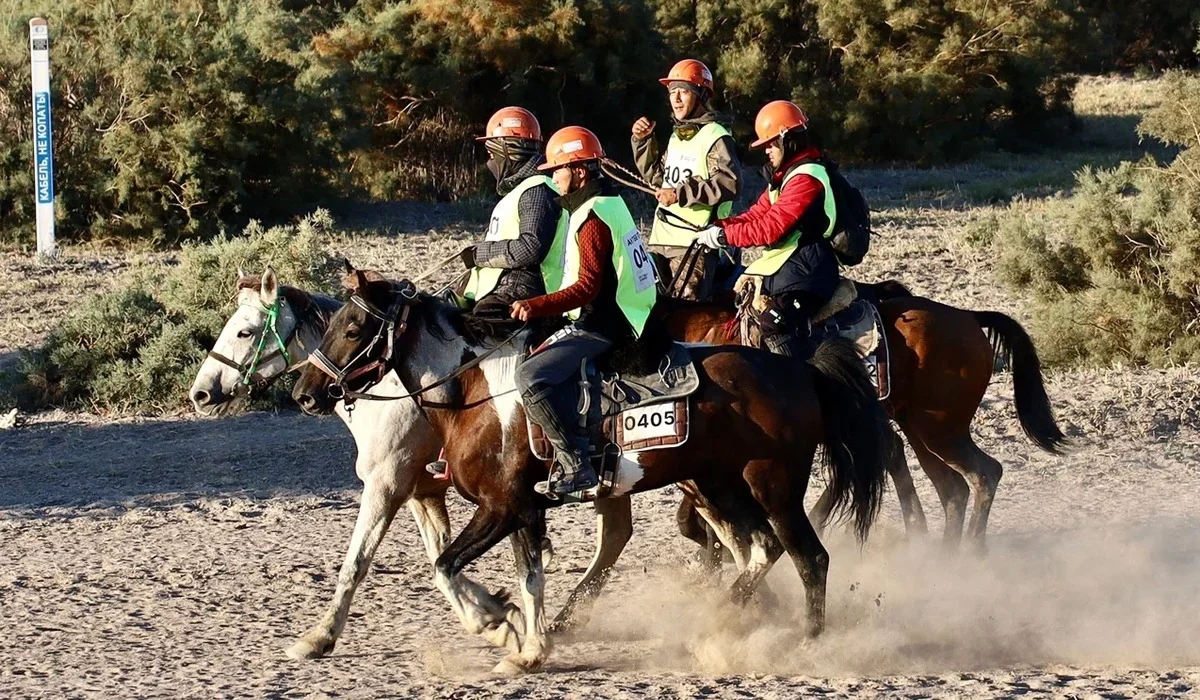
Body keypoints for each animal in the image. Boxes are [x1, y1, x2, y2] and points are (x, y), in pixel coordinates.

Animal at [189, 266, 528, 657]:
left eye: (245, 331)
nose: (201, 393)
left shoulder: (385, 487)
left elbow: (356, 563)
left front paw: (320, 636)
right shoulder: (421, 492)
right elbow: (440, 554)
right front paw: (493, 613)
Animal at [288, 266, 892, 672]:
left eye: (351, 329)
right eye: (331, 323)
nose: (305, 393)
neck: (477, 394)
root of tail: (799, 369)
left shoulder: (497, 506)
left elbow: (443, 565)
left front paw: (496, 625)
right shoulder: (522, 509)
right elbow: (528, 577)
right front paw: (527, 646)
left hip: (774, 487)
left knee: (809, 558)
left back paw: (801, 642)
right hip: (718, 486)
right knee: (759, 551)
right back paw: (717, 625)